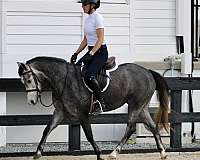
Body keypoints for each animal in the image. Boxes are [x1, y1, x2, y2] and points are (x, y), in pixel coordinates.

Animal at [17, 57, 170, 159]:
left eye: (29, 80)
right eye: (23, 82)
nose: (31, 101)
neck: (64, 80)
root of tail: (148, 72)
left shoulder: (82, 114)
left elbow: (89, 135)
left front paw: (99, 154)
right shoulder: (60, 112)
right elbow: (47, 129)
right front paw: (37, 153)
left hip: (135, 105)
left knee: (131, 127)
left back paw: (114, 153)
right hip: (142, 107)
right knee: (153, 126)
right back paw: (162, 153)